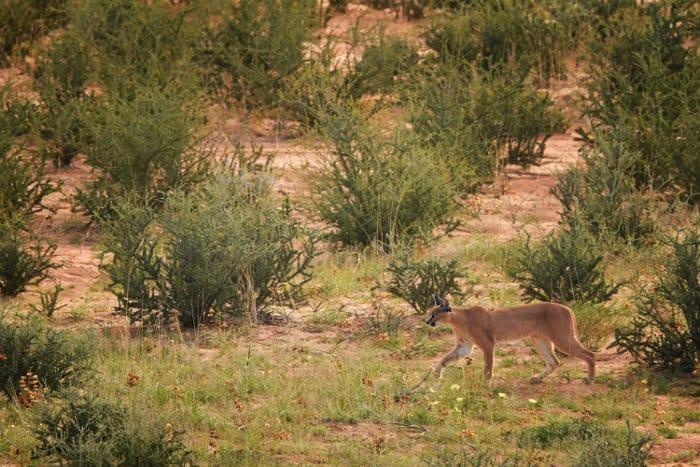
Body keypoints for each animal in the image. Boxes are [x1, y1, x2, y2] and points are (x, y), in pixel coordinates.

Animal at [426, 296, 596, 384]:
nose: (427, 322)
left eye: (434, 314)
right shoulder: (464, 346)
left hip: (562, 338)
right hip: (539, 339)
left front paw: (485, 383)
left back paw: (590, 379)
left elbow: (488, 366)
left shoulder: (487, 344)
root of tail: (567, 308)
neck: (460, 319)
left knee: (590, 354)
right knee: (555, 361)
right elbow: (445, 358)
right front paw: (436, 373)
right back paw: (536, 379)